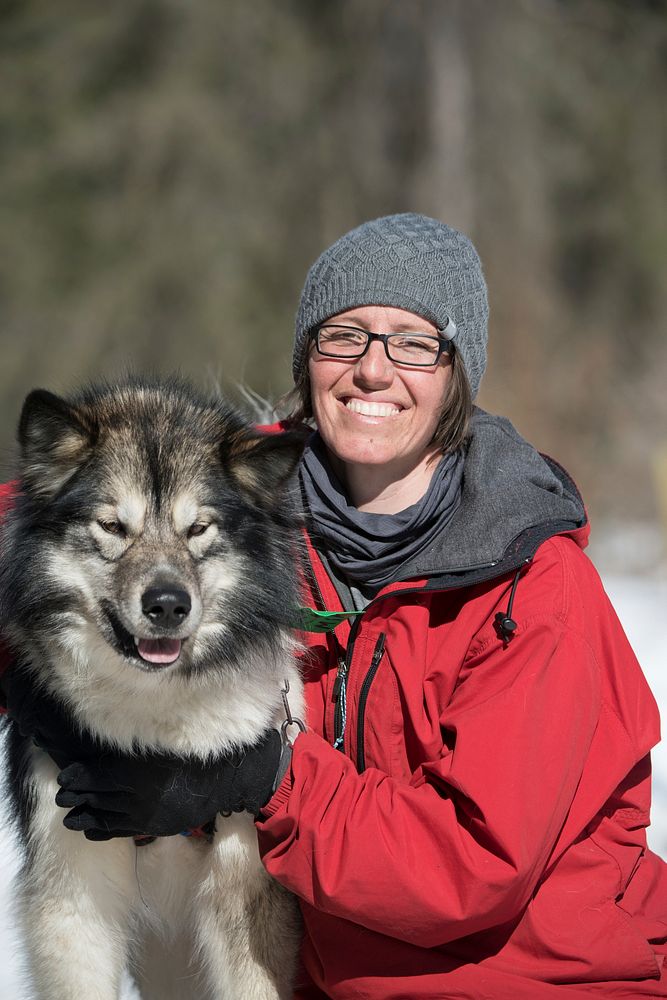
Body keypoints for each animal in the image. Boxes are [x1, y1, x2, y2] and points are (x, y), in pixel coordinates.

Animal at [0, 376, 306, 1000]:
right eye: (113, 526)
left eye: (198, 529)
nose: (167, 604)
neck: (154, 747)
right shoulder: (73, 894)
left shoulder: (245, 886)